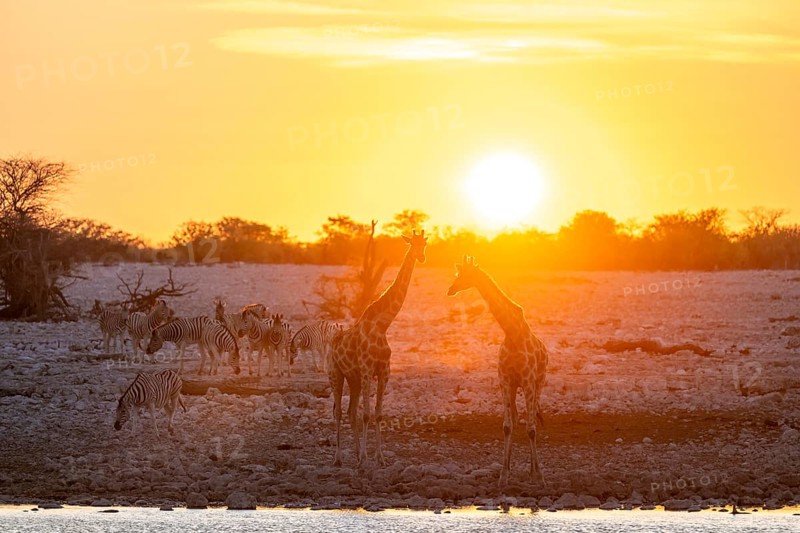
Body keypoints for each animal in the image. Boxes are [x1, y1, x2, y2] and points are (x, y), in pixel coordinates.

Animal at [329, 229, 427, 468]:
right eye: (412, 244)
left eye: (425, 243)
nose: (421, 257)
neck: (382, 325)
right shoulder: (366, 370)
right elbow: (366, 414)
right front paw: (366, 458)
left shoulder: (384, 371)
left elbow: (378, 413)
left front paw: (379, 457)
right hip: (336, 374)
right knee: (338, 412)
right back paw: (338, 458)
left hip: (353, 379)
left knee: (350, 412)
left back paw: (355, 454)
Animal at [447, 256, 548, 486]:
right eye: (458, 273)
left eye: (465, 275)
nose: (451, 289)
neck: (512, 333)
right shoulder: (504, 379)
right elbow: (507, 426)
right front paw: (503, 476)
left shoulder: (528, 380)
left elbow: (531, 428)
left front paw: (539, 476)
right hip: (515, 387)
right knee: (518, 419)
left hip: (538, 383)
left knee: (532, 422)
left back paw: (533, 471)